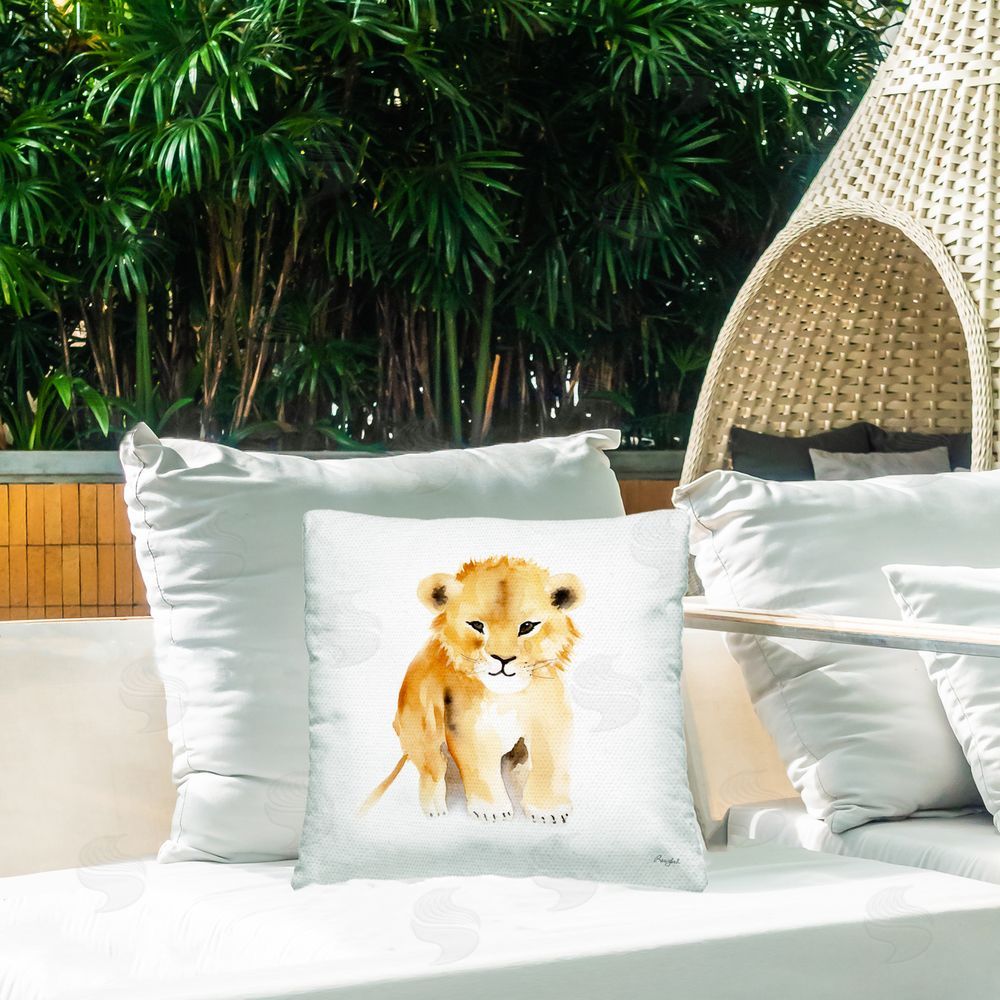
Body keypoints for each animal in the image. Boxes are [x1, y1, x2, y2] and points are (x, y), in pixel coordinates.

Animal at [362, 556, 584, 824]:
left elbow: (549, 761)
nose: (503, 659)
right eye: (477, 625)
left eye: (528, 626)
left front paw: (548, 809)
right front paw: (493, 810)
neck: (507, 696)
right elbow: (480, 766)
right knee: (431, 765)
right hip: (419, 717)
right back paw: (434, 806)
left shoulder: (550, 715)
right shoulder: (467, 723)